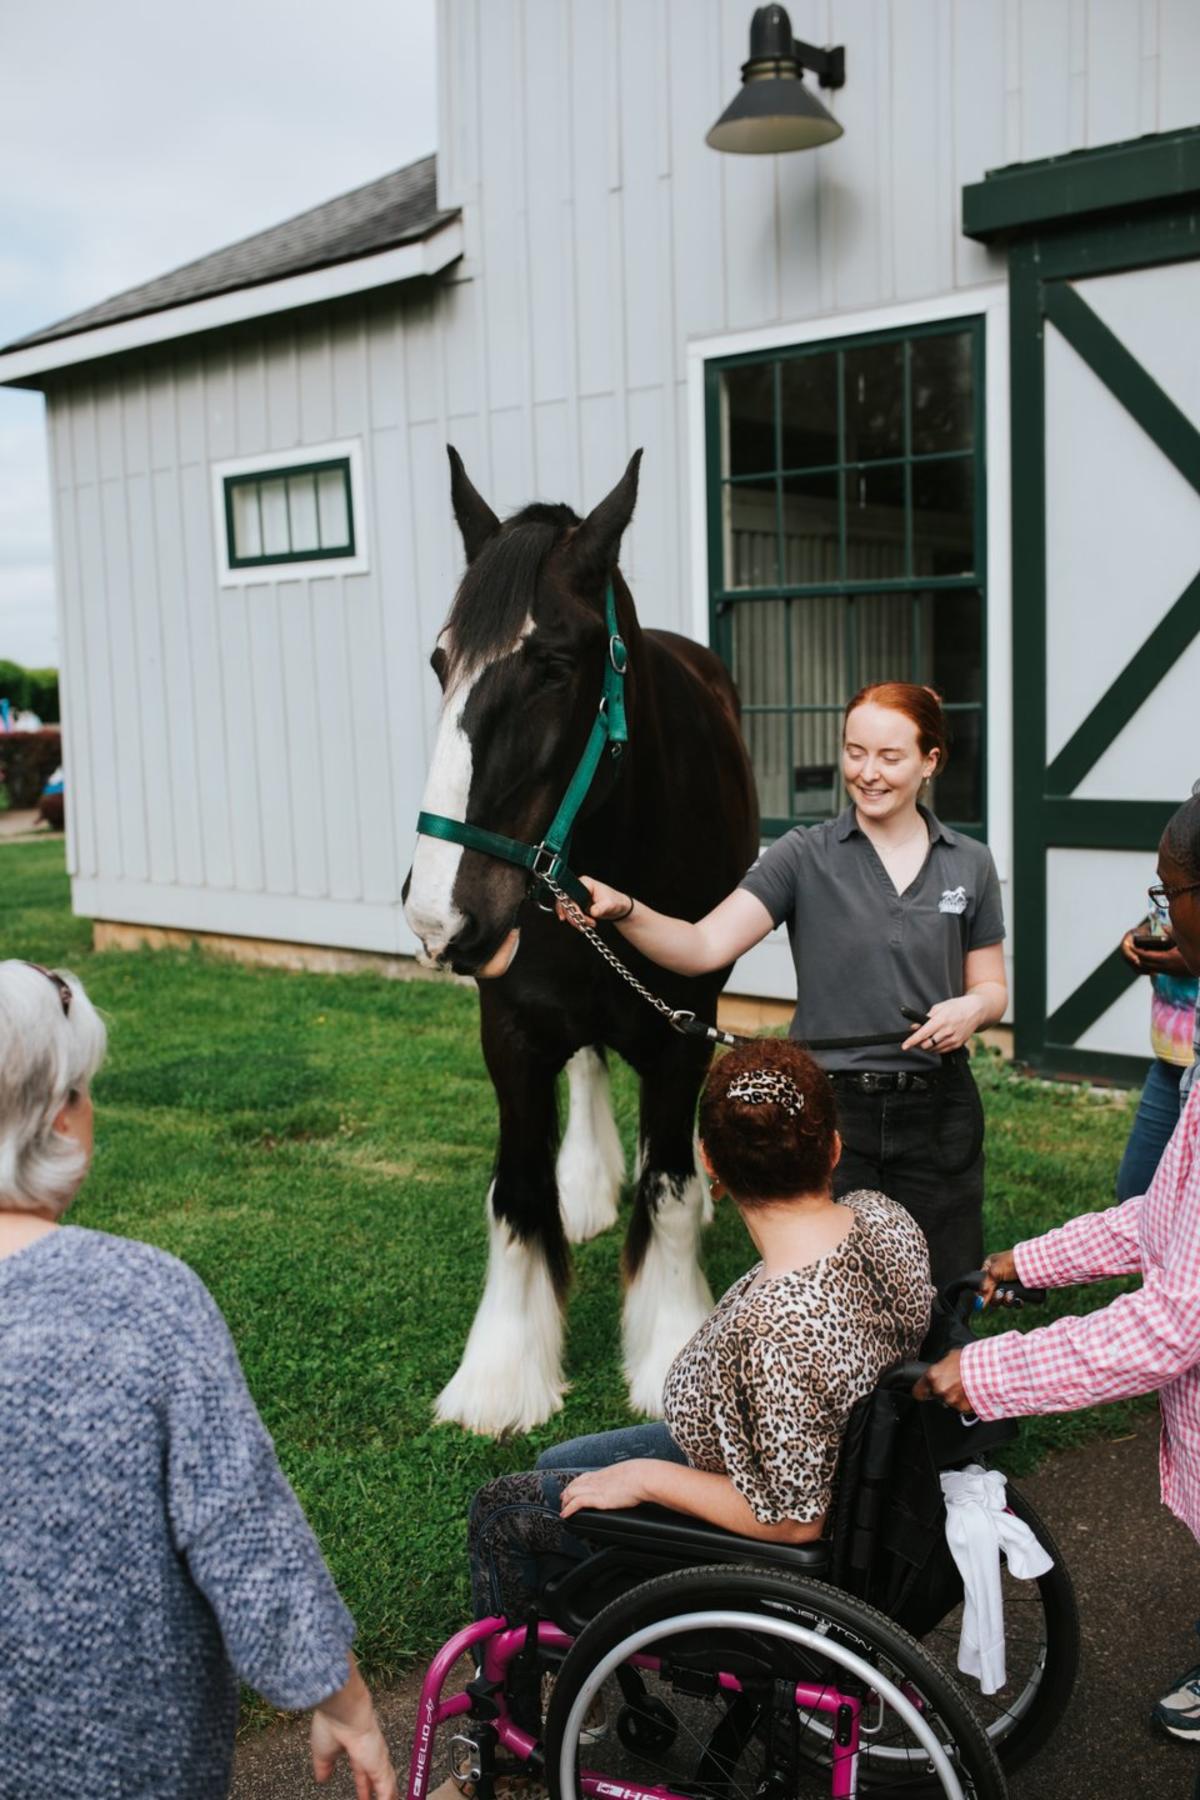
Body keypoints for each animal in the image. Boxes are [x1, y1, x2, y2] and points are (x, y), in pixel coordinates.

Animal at [403, 448, 758, 1436]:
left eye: (555, 665)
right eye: (441, 660)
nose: (440, 917)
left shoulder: (683, 1026)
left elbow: (669, 1185)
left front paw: (671, 1349)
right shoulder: (509, 1031)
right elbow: (517, 1194)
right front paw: (502, 1372)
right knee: (593, 1065)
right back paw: (590, 1182)